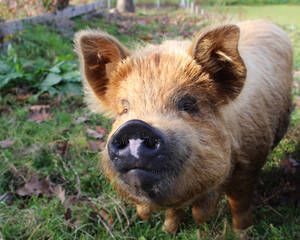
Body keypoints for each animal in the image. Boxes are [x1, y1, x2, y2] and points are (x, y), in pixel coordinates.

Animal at [75, 20, 292, 234]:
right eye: (124, 109)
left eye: (188, 104)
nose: (135, 126)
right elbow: (173, 210)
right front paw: (167, 231)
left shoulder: (250, 160)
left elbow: (239, 203)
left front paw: (242, 233)